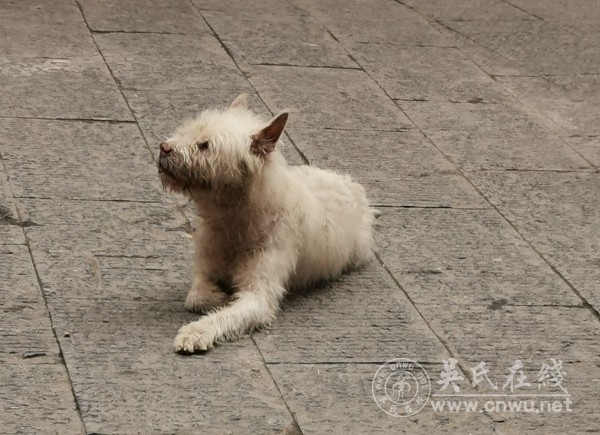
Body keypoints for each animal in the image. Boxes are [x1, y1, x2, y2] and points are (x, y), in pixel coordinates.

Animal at [159, 95, 376, 354]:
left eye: (205, 145)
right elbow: (195, 297)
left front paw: (196, 331)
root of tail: (350, 184)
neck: (235, 220)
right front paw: (218, 297)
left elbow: (225, 315)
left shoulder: (259, 294)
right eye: (188, 132)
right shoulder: (205, 267)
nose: (163, 147)